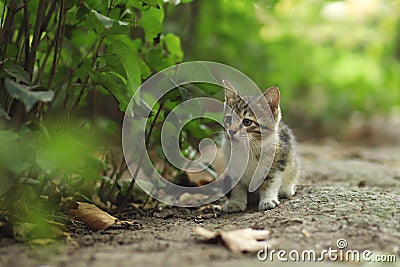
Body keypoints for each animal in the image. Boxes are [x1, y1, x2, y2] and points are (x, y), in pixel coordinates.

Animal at [222, 80, 300, 213]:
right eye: (228, 119)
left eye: (247, 122)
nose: (231, 131)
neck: (248, 149)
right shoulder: (233, 168)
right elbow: (237, 186)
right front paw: (236, 201)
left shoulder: (277, 162)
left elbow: (270, 182)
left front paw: (267, 200)